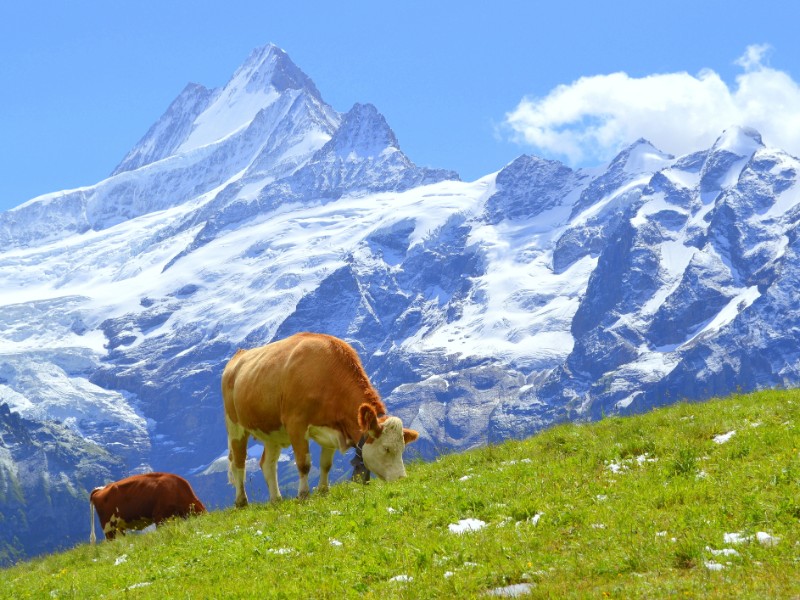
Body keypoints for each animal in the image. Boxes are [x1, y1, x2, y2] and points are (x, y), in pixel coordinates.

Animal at [220, 330, 418, 504]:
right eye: (386, 448)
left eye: (402, 448)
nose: (402, 478)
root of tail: (239, 355)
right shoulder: (296, 424)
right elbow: (304, 463)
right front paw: (303, 495)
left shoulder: (332, 428)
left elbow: (326, 464)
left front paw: (323, 491)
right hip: (235, 426)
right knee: (238, 463)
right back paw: (241, 501)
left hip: (272, 431)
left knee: (267, 464)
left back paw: (276, 500)